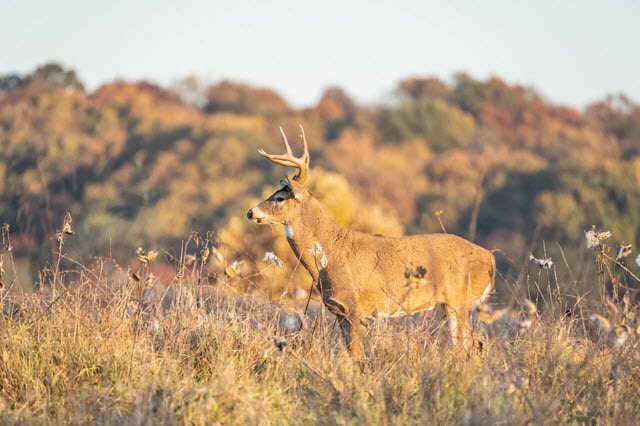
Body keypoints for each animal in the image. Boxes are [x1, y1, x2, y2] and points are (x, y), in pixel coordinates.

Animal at [248, 125, 498, 360]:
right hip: (446, 306)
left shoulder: (356, 309)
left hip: (461, 300)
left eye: (280, 198)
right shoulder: (340, 312)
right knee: (476, 343)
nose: (251, 212)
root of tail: (491, 260)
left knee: (465, 347)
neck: (329, 254)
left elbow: (358, 358)